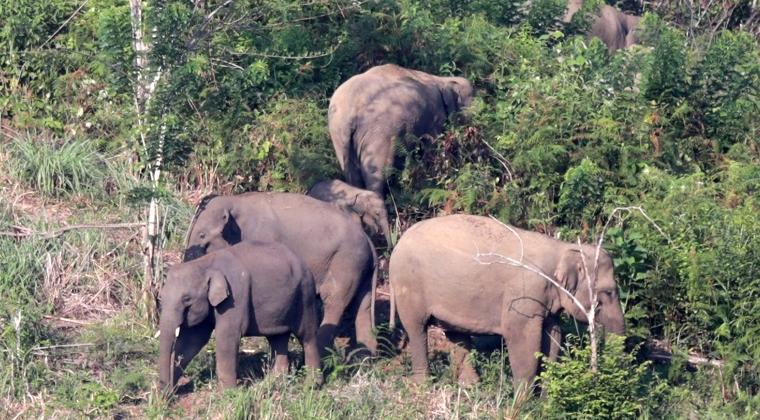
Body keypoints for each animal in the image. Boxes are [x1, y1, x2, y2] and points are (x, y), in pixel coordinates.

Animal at [157, 241, 320, 392]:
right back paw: (274, 382)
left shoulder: (234, 297)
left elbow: (227, 338)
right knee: (278, 338)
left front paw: (227, 394)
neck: (205, 263)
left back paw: (311, 385)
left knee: (307, 337)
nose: (165, 394)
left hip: (305, 295)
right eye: (161, 297)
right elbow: (192, 340)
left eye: (187, 299)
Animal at [182, 193, 378, 354]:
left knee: (334, 301)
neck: (235, 201)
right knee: (363, 306)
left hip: (346, 261)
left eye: (202, 235)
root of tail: (369, 241)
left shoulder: (262, 237)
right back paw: (365, 357)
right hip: (361, 267)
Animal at [328, 63, 472, 195]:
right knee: (378, 174)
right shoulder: (435, 116)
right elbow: (432, 147)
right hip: (379, 135)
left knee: (352, 175)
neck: (442, 79)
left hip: (339, 136)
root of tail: (350, 113)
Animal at [388, 217, 628, 388]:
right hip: (408, 285)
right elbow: (522, 339)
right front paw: (523, 402)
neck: (562, 248)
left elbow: (553, 337)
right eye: (608, 292)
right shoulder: (523, 294)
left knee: (456, 333)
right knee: (417, 329)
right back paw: (422, 386)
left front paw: (544, 399)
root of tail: (397, 244)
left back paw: (470, 386)